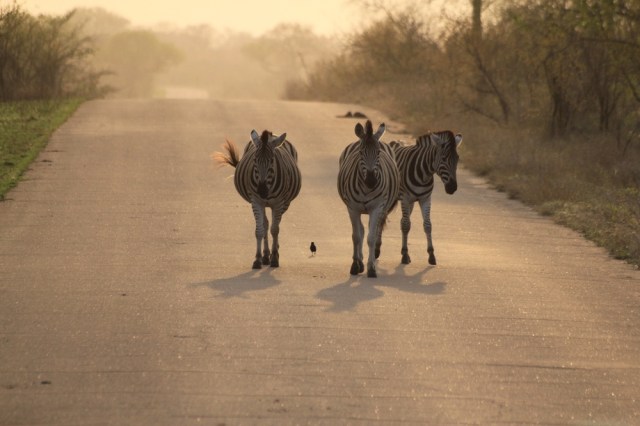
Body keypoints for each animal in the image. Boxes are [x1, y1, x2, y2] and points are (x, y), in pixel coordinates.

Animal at [214, 129, 301, 269]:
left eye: (272, 161)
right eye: (254, 160)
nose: (262, 191)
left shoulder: (278, 203)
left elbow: (275, 230)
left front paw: (275, 258)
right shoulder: (256, 201)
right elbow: (259, 230)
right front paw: (258, 259)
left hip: (285, 203)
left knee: (276, 225)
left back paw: (274, 252)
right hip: (264, 203)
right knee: (266, 224)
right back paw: (266, 255)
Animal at [337, 120, 400, 278]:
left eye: (378, 153)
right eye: (360, 153)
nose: (371, 181)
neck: (366, 189)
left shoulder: (377, 208)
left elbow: (371, 238)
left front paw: (371, 268)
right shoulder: (352, 208)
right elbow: (356, 236)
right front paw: (355, 265)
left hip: (381, 208)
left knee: (373, 230)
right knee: (360, 230)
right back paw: (359, 262)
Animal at [390, 131, 463, 266]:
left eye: (457, 159)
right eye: (443, 158)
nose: (452, 188)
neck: (423, 174)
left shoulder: (426, 199)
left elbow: (427, 225)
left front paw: (431, 255)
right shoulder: (405, 198)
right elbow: (406, 225)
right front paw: (405, 255)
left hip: (410, 203)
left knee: (401, 220)